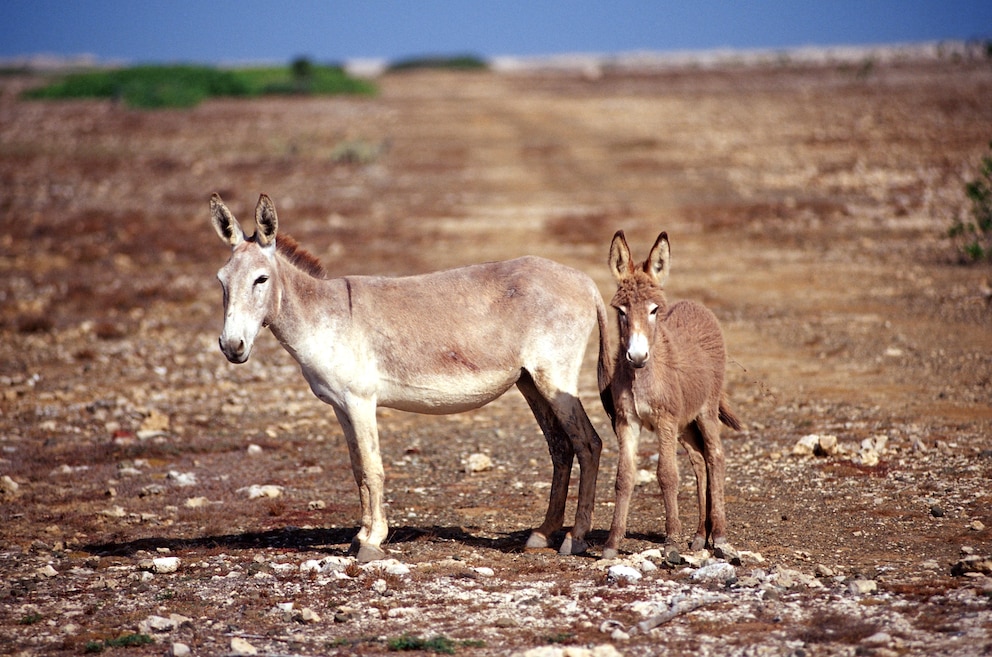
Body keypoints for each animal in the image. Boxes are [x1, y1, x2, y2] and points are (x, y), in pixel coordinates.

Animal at [600, 231, 740, 560]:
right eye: (621, 311)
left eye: (654, 310)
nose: (637, 357)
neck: (642, 377)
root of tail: (697, 305)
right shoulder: (627, 421)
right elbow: (624, 477)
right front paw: (612, 543)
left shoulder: (664, 419)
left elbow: (667, 475)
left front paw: (671, 539)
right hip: (685, 424)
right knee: (700, 461)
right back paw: (702, 536)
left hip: (705, 411)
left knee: (716, 456)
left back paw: (720, 536)